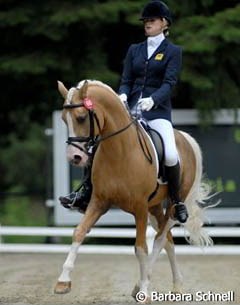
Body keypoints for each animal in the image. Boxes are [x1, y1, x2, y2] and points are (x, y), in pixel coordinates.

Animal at [54, 79, 212, 300]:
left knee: (160, 239)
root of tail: (184, 138)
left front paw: (145, 290)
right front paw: (63, 281)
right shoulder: (99, 202)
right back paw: (175, 285)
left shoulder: (139, 208)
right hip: (154, 208)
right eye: (63, 119)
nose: (74, 158)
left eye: (81, 117)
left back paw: (144, 285)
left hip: (173, 206)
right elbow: (79, 232)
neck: (119, 151)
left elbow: (140, 248)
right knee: (168, 240)